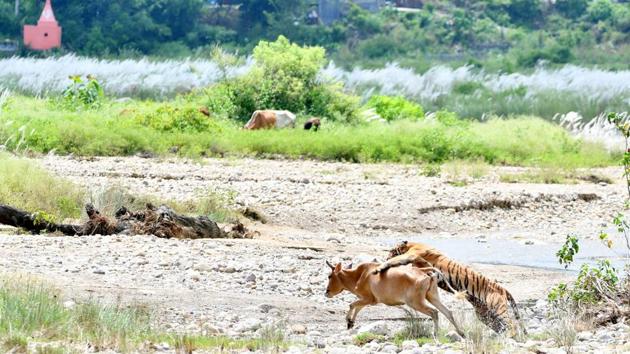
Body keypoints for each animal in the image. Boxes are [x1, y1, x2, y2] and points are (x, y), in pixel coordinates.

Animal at [326, 260, 464, 340]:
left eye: (329, 276)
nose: (326, 292)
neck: (360, 275)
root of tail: (423, 271)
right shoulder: (366, 300)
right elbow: (357, 307)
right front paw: (351, 323)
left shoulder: (368, 299)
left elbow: (351, 305)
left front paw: (348, 321)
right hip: (432, 297)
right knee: (448, 312)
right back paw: (461, 333)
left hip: (416, 302)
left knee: (434, 312)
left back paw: (435, 334)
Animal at [376, 241, 528, 334]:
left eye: (390, 250)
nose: (385, 255)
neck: (412, 245)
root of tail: (503, 289)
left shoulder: (412, 255)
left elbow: (395, 260)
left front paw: (381, 266)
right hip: (485, 315)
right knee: (502, 327)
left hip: (498, 308)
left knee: (512, 324)